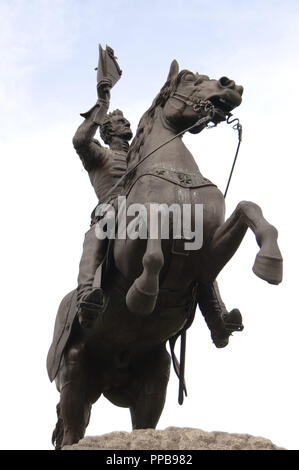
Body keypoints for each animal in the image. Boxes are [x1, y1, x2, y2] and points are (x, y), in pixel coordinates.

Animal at [47, 58, 284, 448]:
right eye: (188, 79)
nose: (231, 85)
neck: (177, 174)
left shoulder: (207, 257)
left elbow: (249, 209)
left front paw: (270, 264)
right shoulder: (132, 248)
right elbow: (154, 233)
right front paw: (143, 295)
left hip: (155, 376)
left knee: (142, 423)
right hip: (75, 368)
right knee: (71, 430)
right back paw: (90, 299)